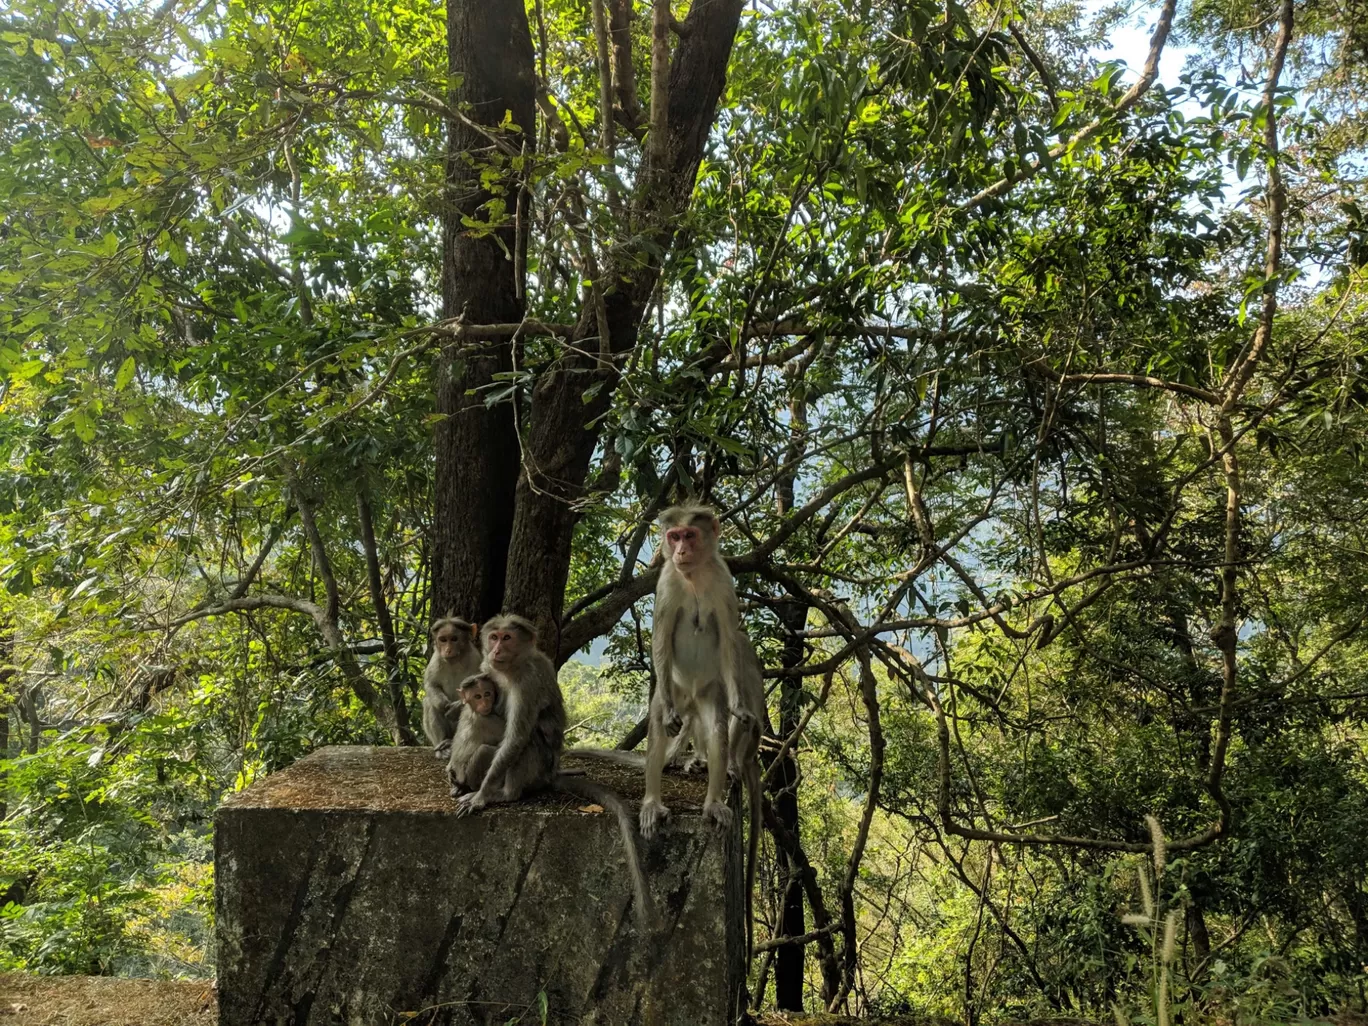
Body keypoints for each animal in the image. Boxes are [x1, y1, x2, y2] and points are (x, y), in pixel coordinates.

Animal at [424, 615, 484, 760]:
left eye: (454, 639)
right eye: (443, 639)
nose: (448, 649)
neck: (455, 661)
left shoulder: (475, 659)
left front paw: (456, 708)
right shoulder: (436, 659)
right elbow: (431, 684)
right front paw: (443, 704)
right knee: (428, 702)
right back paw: (443, 745)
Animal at [454, 618, 656, 930]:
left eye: (507, 638)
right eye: (494, 637)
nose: (497, 649)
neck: (513, 666)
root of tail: (549, 774)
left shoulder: (528, 682)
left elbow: (516, 737)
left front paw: (481, 795)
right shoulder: (489, 668)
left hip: (538, 768)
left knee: (527, 740)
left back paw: (507, 793)